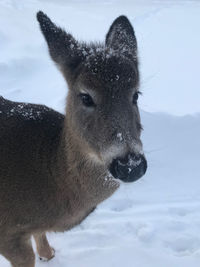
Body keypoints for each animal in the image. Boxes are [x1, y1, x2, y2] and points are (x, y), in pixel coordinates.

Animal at [0, 11, 147, 267]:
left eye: (136, 95)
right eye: (86, 97)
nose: (130, 165)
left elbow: (45, 247)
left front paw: (48, 255)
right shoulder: (7, 231)